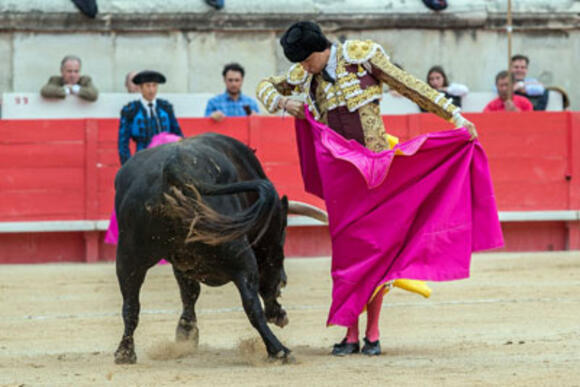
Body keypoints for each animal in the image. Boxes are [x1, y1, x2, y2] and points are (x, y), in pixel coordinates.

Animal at [112, 133, 326, 364]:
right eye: (283, 230)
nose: (284, 281)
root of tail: (176, 167)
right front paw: (278, 314)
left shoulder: (183, 261)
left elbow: (189, 292)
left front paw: (186, 334)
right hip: (239, 253)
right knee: (251, 302)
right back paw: (279, 350)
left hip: (128, 256)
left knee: (130, 305)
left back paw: (125, 353)